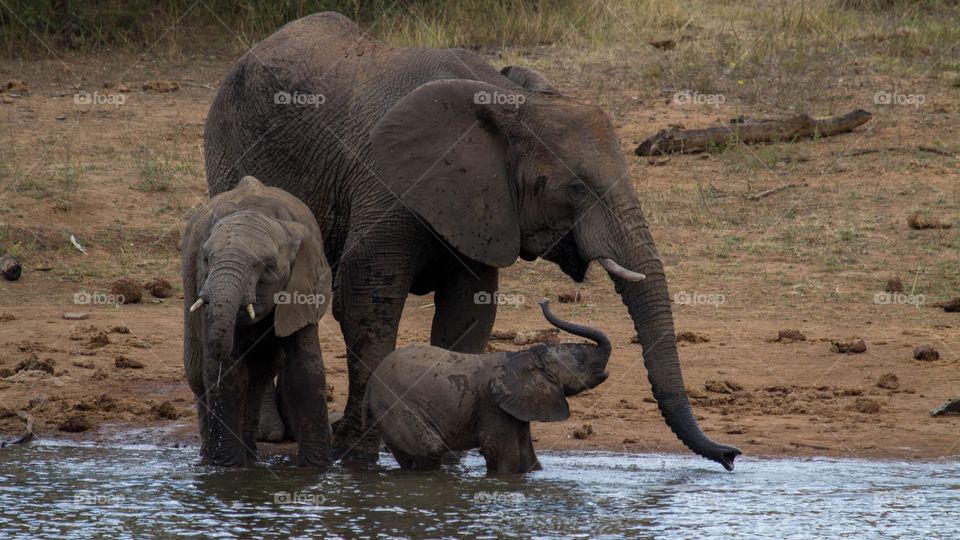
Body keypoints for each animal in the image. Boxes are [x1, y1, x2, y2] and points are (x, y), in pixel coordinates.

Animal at [182, 175, 333, 467]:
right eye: (206, 259)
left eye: (269, 266)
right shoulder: (200, 279)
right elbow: (228, 374)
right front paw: (227, 468)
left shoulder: (304, 286)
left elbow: (306, 371)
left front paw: (316, 469)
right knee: (198, 375)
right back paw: (210, 460)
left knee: (258, 377)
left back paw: (250, 457)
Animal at [364, 300, 610, 474]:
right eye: (580, 358)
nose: (544, 301)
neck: (522, 356)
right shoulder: (492, 406)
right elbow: (502, 455)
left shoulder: (519, 404)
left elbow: (528, 458)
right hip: (395, 407)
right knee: (431, 451)